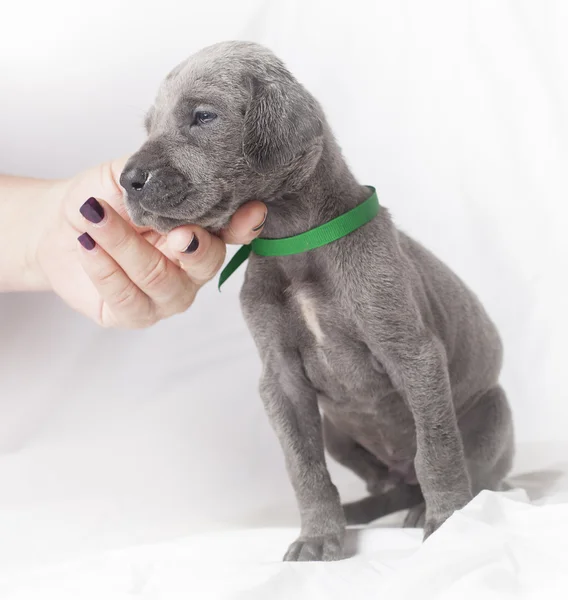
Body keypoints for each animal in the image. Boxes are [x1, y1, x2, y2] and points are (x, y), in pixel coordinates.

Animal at [121, 39, 516, 560]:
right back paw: (364, 511)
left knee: (467, 470)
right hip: (338, 434)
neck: (296, 244)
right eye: (150, 126)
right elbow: (304, 468)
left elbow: (436, 447)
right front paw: (318, 536)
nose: (128, 179)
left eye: (203, 116)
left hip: (492, 413)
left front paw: (448, 520)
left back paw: (440, 504)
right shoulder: (282, 381)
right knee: (387, 483)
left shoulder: (414, 354)